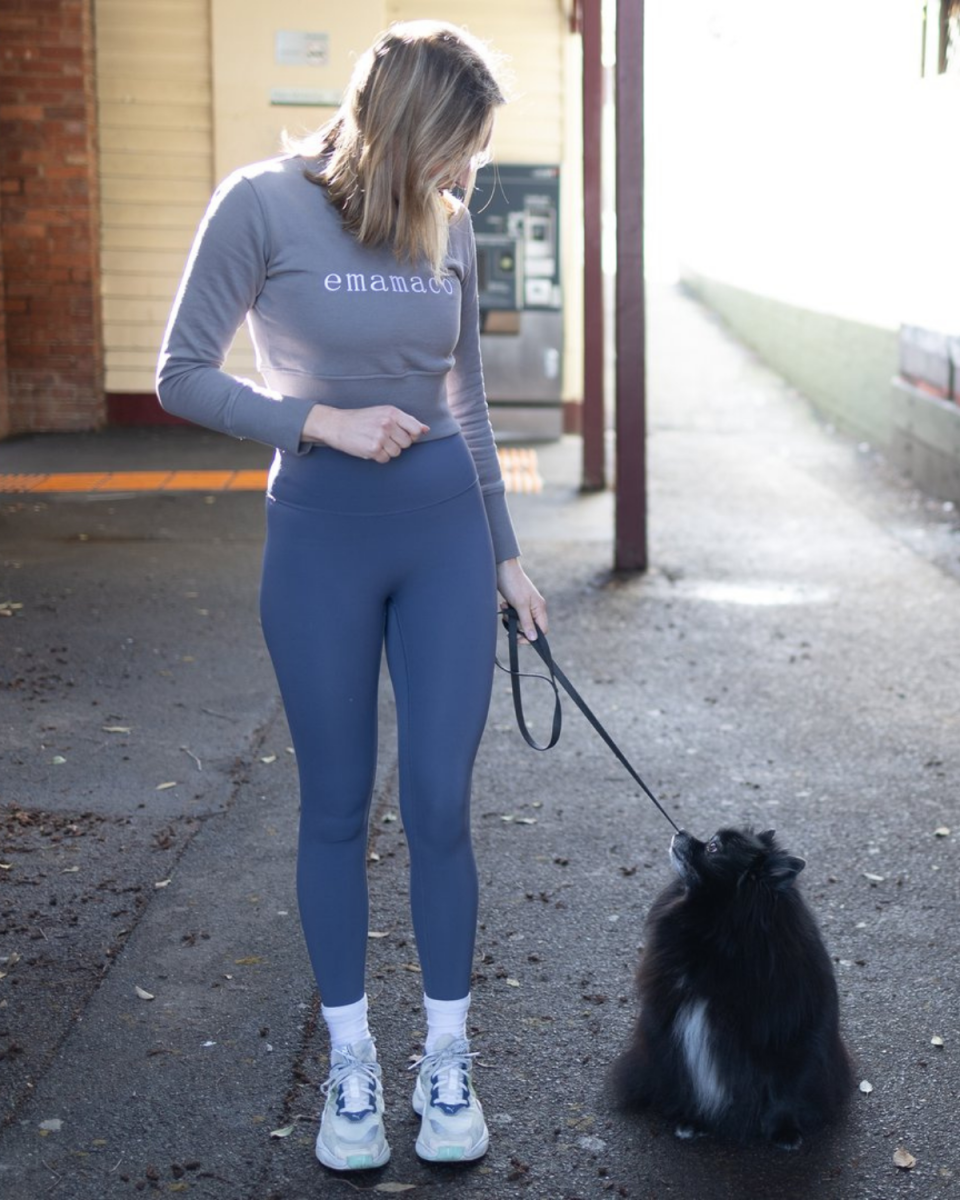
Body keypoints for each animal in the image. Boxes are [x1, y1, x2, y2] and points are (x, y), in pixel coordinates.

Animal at [612, 825, 849, 1142]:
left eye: (713, 848)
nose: (681, 831)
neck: (719, 933)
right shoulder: (679, 1022)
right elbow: (689, 1076)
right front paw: (692, 1120)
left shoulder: (788, 1035)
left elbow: (786, 1089)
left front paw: (784, 1131)